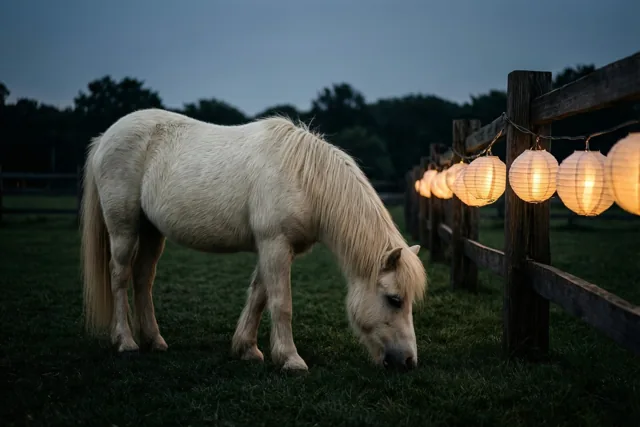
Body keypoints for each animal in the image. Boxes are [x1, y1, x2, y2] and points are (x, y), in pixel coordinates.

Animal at [80, 108, 427, 372]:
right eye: (394, 299)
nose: (409, 361)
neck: (304, 178)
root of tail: (105, 137)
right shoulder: (275, 244)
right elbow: (281, 303)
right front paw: (290, 359)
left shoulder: (274, 247)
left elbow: (259, 296)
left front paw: (246, 348)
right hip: (124, 227)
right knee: (120, 276)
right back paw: (126, 342)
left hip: (152, 231)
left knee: (143, 277)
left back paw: (154, 341)